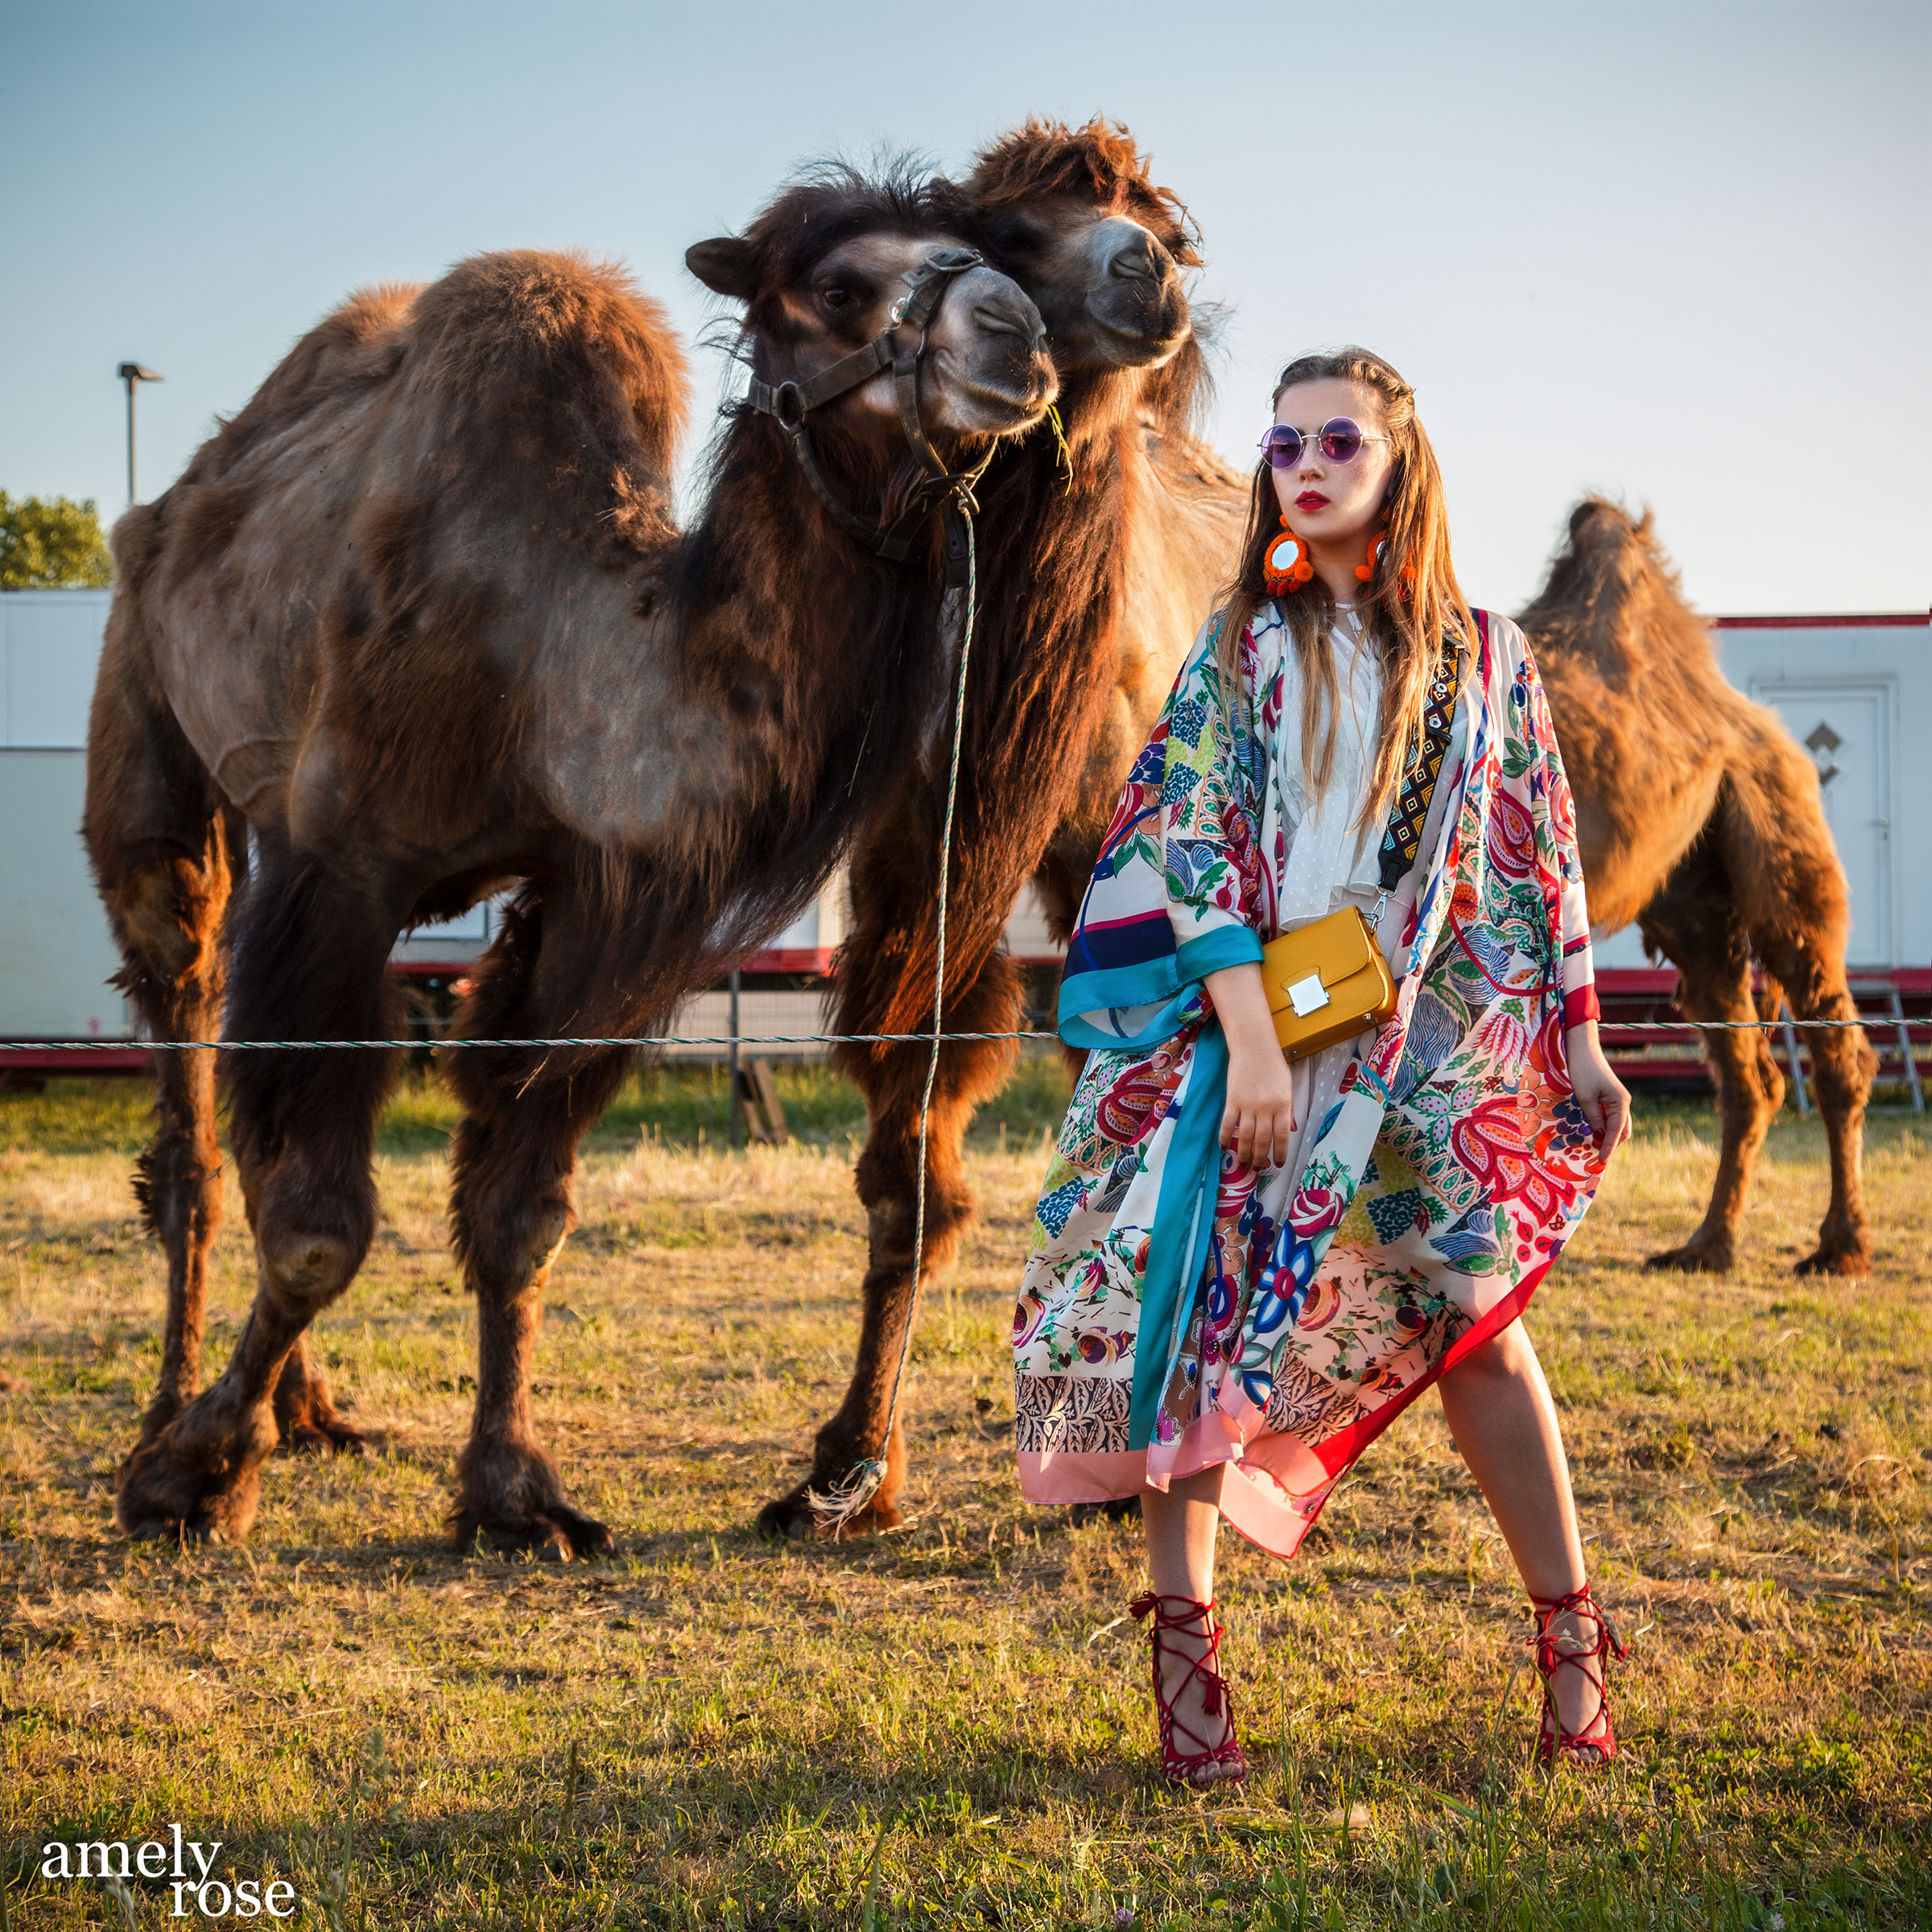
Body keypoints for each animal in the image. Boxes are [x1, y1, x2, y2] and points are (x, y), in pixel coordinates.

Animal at [87, 166, 1059, 1553]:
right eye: (837, 287)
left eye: (983, 248)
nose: (1019, 334)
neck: (560, 656)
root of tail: (179, 497)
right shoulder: (348, 869)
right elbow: (321, 1231)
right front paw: (194, 1472)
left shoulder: (590, 902)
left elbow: (522, 1216)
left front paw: (514, 1491)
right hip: (150, 724)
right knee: (187, 1072)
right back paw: (174, 1409)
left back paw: (308, 1411)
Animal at [761, 128, 1877, 1530]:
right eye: (1003, 231)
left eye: (1170, 238)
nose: (1139, 278)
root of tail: (1741, 710)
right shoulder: (962, 868)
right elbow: (910, 1146)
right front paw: (845, 1468)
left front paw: (1108, 1463)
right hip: (1696, 903)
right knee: (1742, 1054)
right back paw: (1711, 1241)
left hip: (1775, 833)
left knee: (1827, 1033)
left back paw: (1835, 1246)